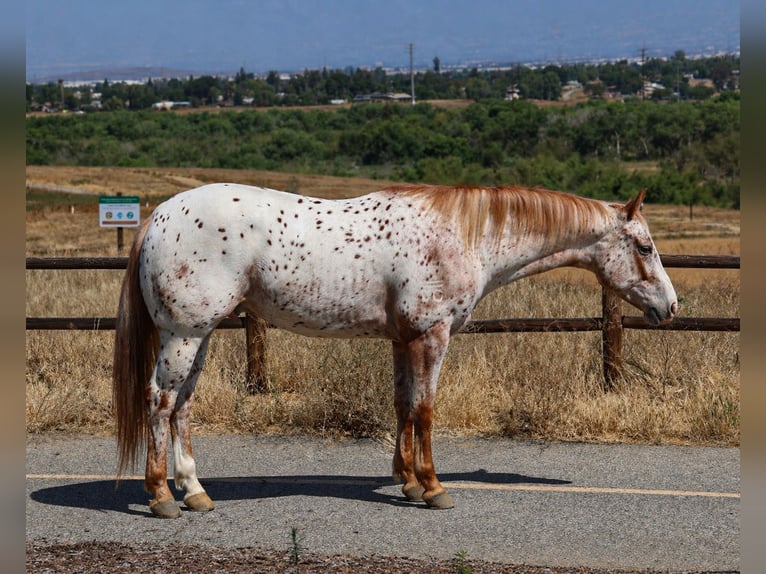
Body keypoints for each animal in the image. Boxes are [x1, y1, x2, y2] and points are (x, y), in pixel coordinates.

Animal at [113, 183, 677, 518]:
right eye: (645, 247)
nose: (671, 307)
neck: (464, 236)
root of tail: (157, 217)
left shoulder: (404, 341)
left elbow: (403, 405)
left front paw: (405, 481)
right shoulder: (431, 336)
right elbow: (425, 410)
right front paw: (433, 487)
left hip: (200, 336)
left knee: (182, 407)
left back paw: (195, 492)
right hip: (184, 335)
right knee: (159, 402)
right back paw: (161, 496)